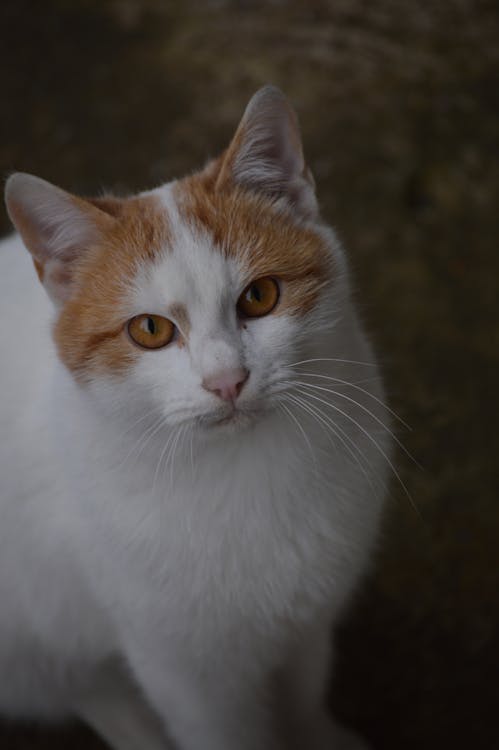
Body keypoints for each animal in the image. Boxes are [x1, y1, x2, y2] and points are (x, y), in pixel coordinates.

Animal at [0, 86, 390, 750]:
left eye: (260, 297)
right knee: (77, 685)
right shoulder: (186, 675)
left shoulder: (308, 619)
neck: (241, 471)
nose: (226, 380)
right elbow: (226, 732)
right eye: (151, 330)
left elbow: (304, 692)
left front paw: (318, 734)